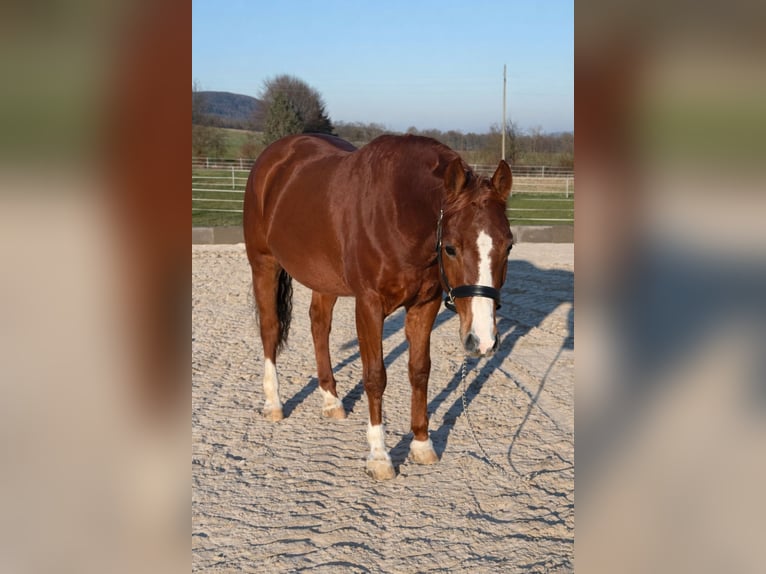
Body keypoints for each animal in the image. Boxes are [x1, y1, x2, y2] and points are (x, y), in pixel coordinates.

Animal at [243, 133, 513, 479]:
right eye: (451, 248)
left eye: (508, 245)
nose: (483, 341)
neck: (399, 213)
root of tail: (275, 156)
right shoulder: (369, 305)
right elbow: (375, 376)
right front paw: (379, 456)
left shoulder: (425, 304)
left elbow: (419, 370)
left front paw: (421, 445)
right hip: (264, 264)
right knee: (270, 328)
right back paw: (274, 403)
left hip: (324, 278)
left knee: (319, 324)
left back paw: (331, 401)